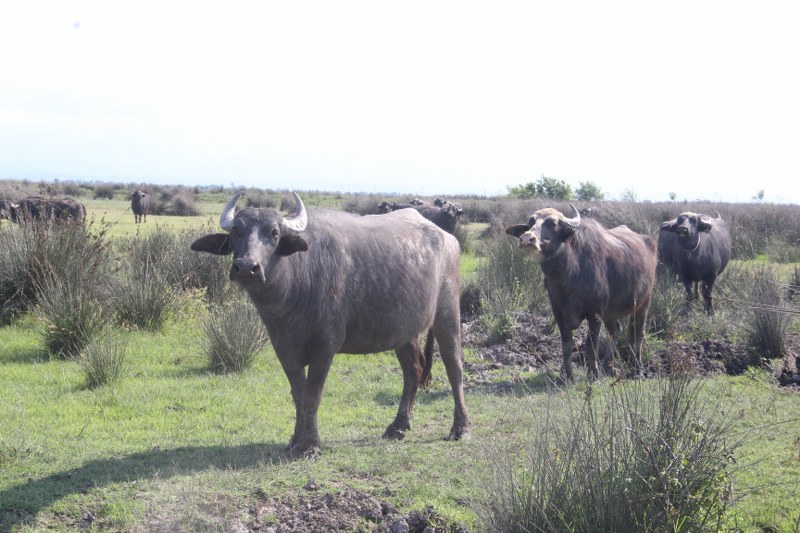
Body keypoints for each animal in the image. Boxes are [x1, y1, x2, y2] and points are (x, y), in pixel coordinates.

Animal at [191, 189, 472, 456]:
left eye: (273, 233)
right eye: (236, 231)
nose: (247, 267)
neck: (297, 283)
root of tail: (448, 239)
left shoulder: (324, 347)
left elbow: (312, 396)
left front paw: (309, 446)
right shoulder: (284, 349)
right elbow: (298, 396)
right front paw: (295, 441)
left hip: (447, 315)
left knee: (454, 366)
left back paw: (460, 427)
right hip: (403, 331)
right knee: (412, 369)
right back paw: (397, 426)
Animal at [506, 203, 656, 378]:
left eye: (553, 224)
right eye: (530, 223)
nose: (526, 239)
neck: (568, 277)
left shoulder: (595, 314)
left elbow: (591, 344)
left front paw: (592, 374)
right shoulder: (558, 311)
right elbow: (566, 344)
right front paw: (566, 375)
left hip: (643, 303)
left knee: (638, 334)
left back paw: (637, 369)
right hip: (611, 313)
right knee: (615, 331)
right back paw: (607, 365)